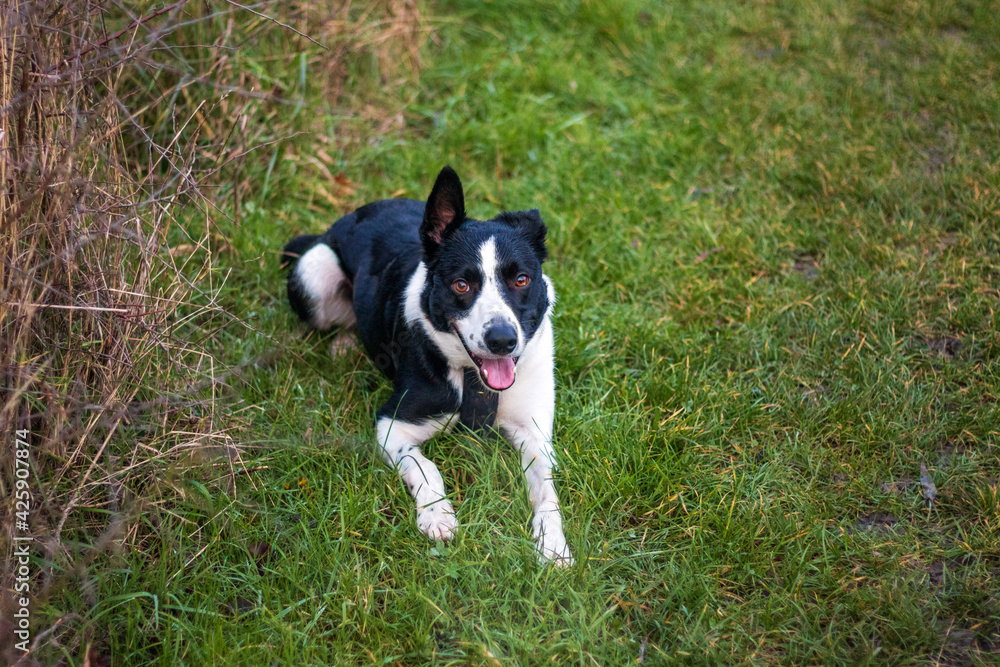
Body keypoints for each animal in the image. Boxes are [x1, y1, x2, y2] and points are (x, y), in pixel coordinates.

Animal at [286, 166, 576, 564]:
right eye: (461, 285)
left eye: (521, 279)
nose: (502, 340)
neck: (473, 381)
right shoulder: (392, 424)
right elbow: (425, 467)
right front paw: (437, 516)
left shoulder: (535, 434)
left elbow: (547, 491)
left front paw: (553, 546)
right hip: (313, 272)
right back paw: (344, 344)